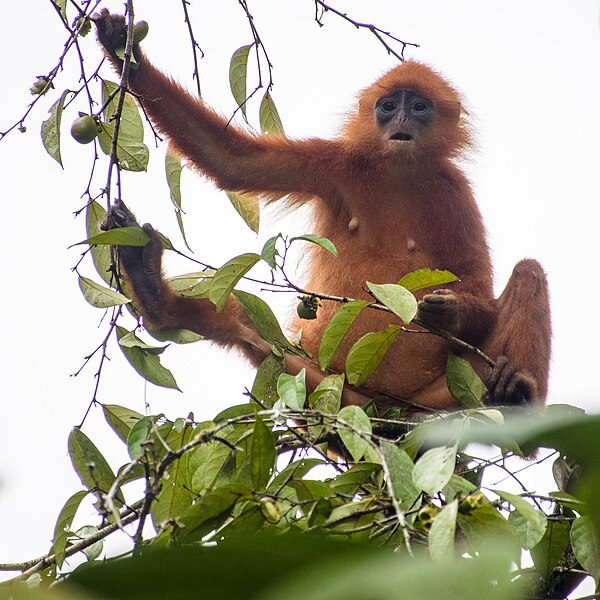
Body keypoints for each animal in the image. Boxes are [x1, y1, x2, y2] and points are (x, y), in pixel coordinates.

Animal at [95, 10, 552, 412]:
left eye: (419, 107)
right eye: (389, 106)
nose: (401, 119)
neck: (397, 172)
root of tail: (381, 408)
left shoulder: (455, 191)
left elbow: (476, 284)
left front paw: (450, 310)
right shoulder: (338, 164)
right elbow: (232, 161)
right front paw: (125, 52)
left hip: (451, 390)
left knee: (528, 272)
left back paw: (516, 389)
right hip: (313, 378)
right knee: (245, 324)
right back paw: (152, 291)